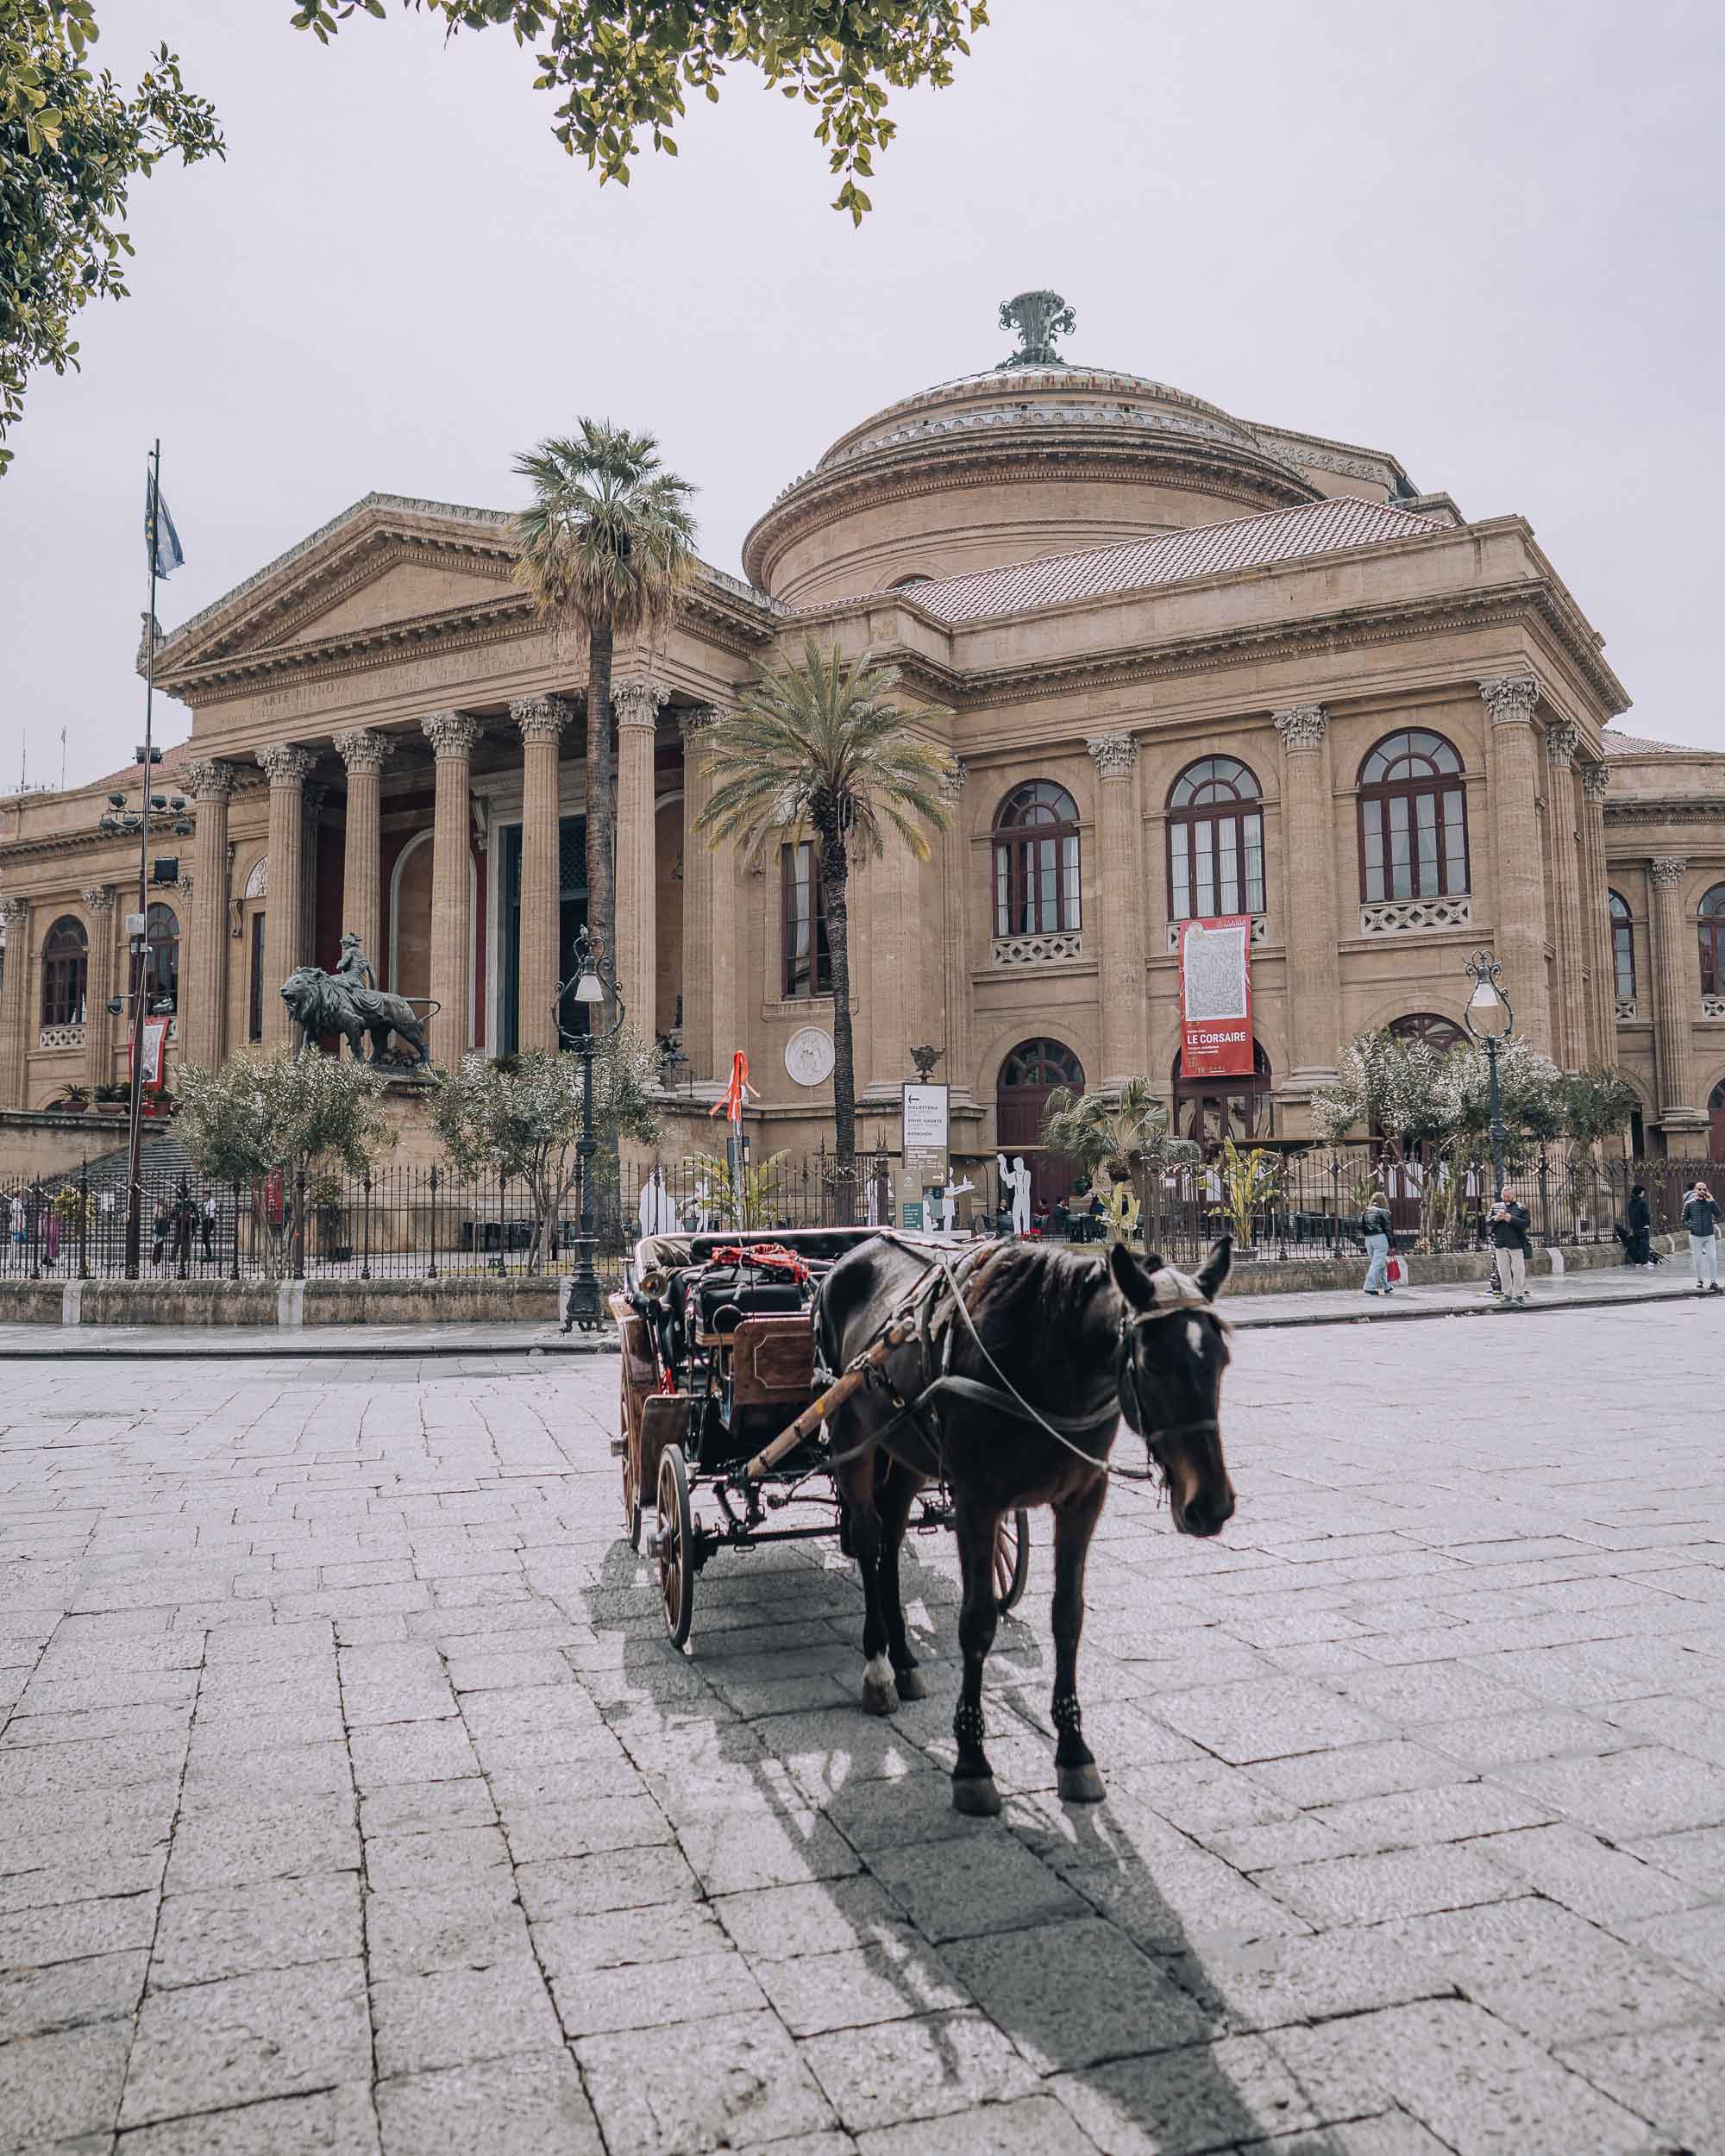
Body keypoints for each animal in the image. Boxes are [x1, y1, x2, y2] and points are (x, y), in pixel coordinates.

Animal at [815, 1242, 1233, 1811]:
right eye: (1150, 1365)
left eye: (1221, 1360)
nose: (1211, 1504)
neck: (1049, 1360)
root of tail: (850, 1253)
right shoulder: (977, 1500)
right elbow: (977, 1622)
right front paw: (972, 1763)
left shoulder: (1084, 1499)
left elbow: (1068, 1615)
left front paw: (1075, 1751)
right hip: (850, 1432)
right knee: (865, 1535)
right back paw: (878, 1666)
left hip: (905, 1447)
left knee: (891, 1533)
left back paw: (902, 1659)